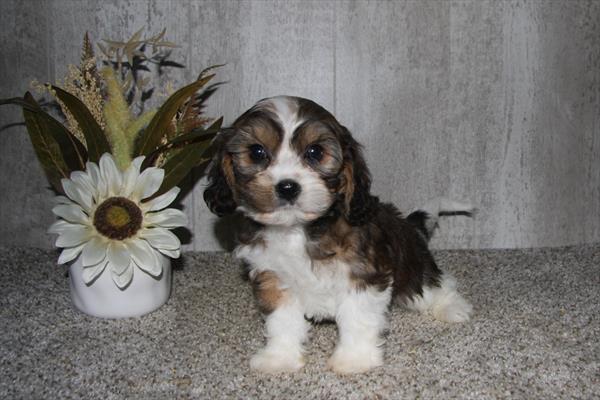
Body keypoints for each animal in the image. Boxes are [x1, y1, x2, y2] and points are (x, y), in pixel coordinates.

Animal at [205, 95, 474, 374]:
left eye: (315, 152)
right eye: (257, 152)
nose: (287, 187)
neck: (299, 229)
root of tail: (408, 226)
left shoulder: (362, 274)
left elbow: (357, 317)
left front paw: (354, 359)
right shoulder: (273, 277)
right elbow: (282, 320)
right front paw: (279, 357)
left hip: (411, 269)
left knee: (430, 285)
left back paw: (453, 307)